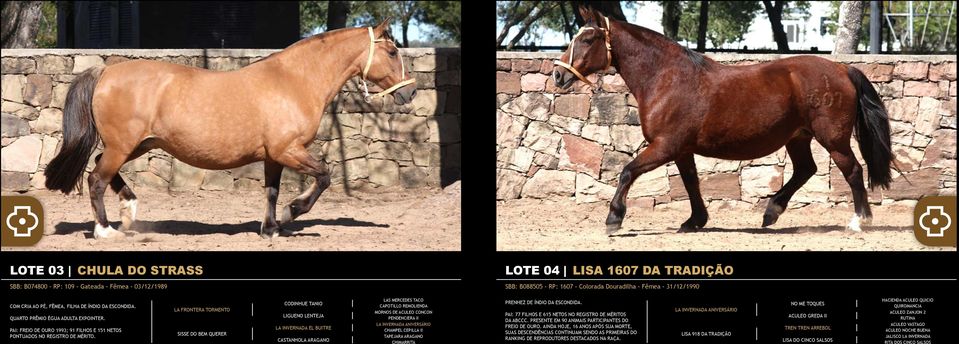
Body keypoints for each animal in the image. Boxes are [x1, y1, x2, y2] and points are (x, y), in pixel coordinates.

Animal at [44, 18, 416, 239]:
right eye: (392, 51)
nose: (410, 92)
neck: (294, 80)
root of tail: (106, 71)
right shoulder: (288, 150)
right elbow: (324, 176)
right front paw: (291, 213)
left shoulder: (273, 156)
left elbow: (271, 191)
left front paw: (270, 229)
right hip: (124, 146)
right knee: (96, 179)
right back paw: (106, 230)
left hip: (138, 145)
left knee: (101, 170)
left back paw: (129, 212)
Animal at [552, 8, 896, 235]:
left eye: (588, 39)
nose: (558, 74)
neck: (666, 78)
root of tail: (842, 69)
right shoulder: (681, 150)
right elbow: (691, 182)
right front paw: (695, 221)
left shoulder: (665, 146)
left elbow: (627, 172)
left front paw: (613, 219)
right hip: (798, 137)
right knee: (805, 170)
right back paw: (771, 213)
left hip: (832, 138)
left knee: (853, 171)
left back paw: (859, 221)